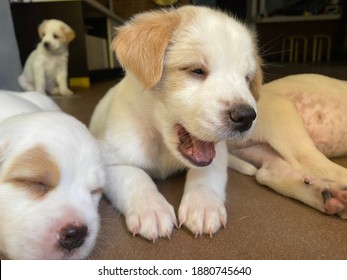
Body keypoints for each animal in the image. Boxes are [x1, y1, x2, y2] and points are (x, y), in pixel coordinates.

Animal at [91, 5, 262, 241]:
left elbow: (206, 173)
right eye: (196, 70)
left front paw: (203, 204)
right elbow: (135, 177)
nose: (246, 117)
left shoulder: (217, 154)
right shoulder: (110, 161)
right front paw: (151, 208)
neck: (161, 144)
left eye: (246, 78)